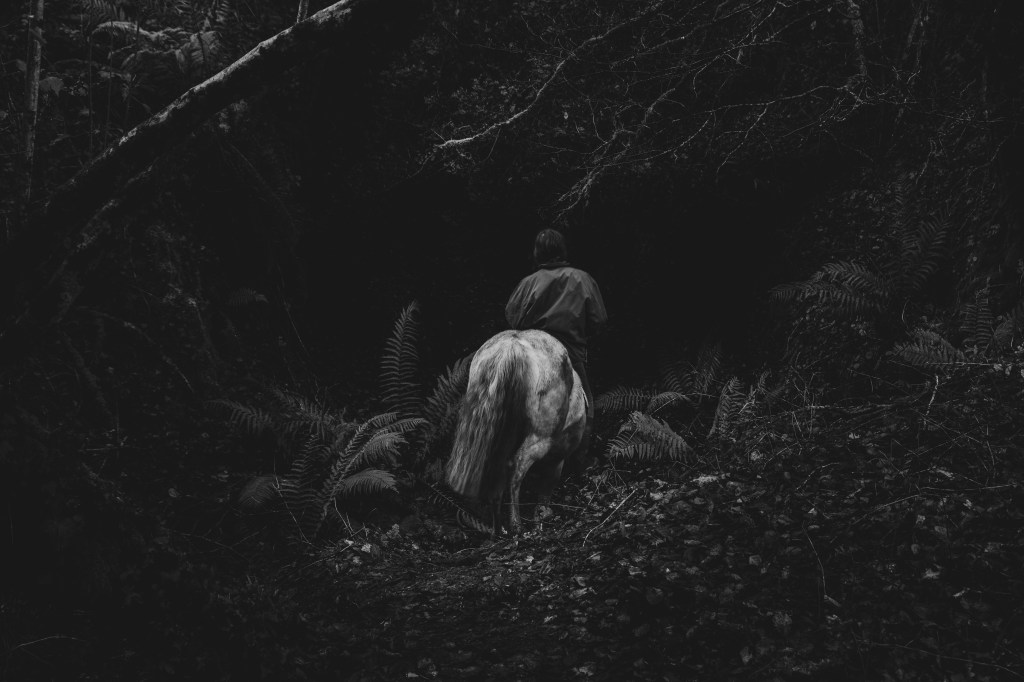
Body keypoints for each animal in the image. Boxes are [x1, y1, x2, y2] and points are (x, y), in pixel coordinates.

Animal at [446, 329, 588, 535]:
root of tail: (512, 345)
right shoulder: (558, 456)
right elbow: (547, 487)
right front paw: (541, 517)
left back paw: (499, 529)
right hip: (541, 436)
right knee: (516, 465)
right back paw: (516, 525)